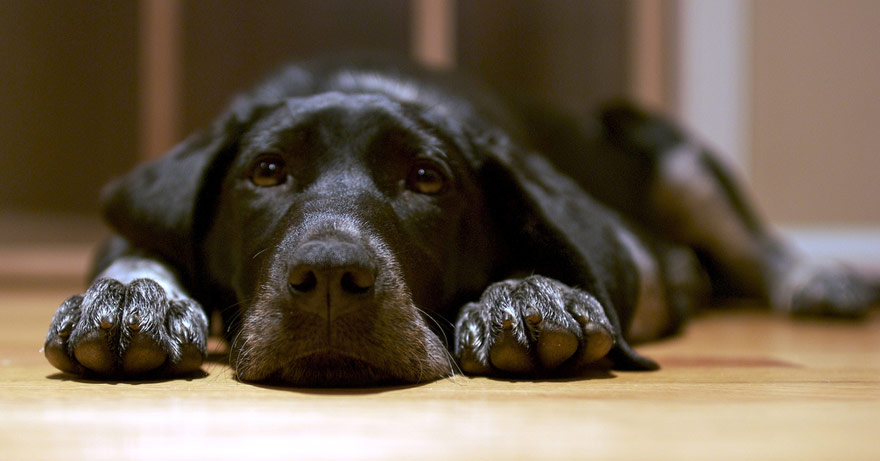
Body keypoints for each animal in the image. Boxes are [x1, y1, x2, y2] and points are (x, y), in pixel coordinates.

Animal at [46, 56, 872, 384]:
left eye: (426, 178)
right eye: (268, 171)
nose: (330, 280)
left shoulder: (637, 254)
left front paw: (526, 295)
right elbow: (138, 254)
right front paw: (132, 300)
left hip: (671, 154)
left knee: (760, 246)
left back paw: (824, 277)